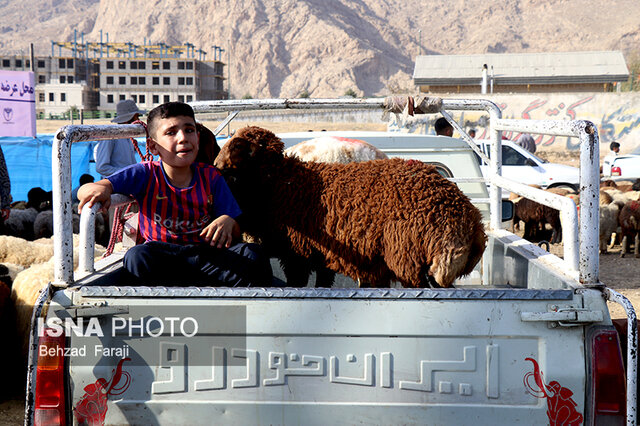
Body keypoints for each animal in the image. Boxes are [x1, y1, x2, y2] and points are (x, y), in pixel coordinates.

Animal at [212, 125, 488, 288]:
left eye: (237, 148)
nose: (215, 165)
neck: (280, 181)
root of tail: (472, 222)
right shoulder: (321, 254)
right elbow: (322, 284)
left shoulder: (298, 253)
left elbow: (299, 284)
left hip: (409, 258)